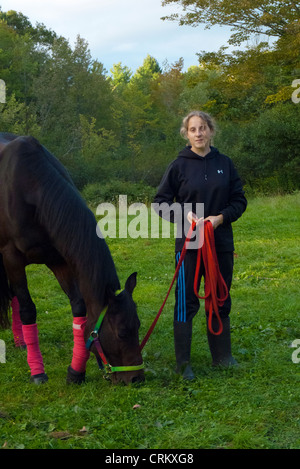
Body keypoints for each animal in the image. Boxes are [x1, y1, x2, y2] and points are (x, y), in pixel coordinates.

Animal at [0, 132, 144, 384]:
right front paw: (37, 371)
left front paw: (76, 371)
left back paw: (20, 343)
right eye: (122, 332)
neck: (31, 188)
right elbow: (28, 309)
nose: (137, 378)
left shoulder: (59, 260)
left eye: (138, 326)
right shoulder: (12, 258)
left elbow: (79, 308)